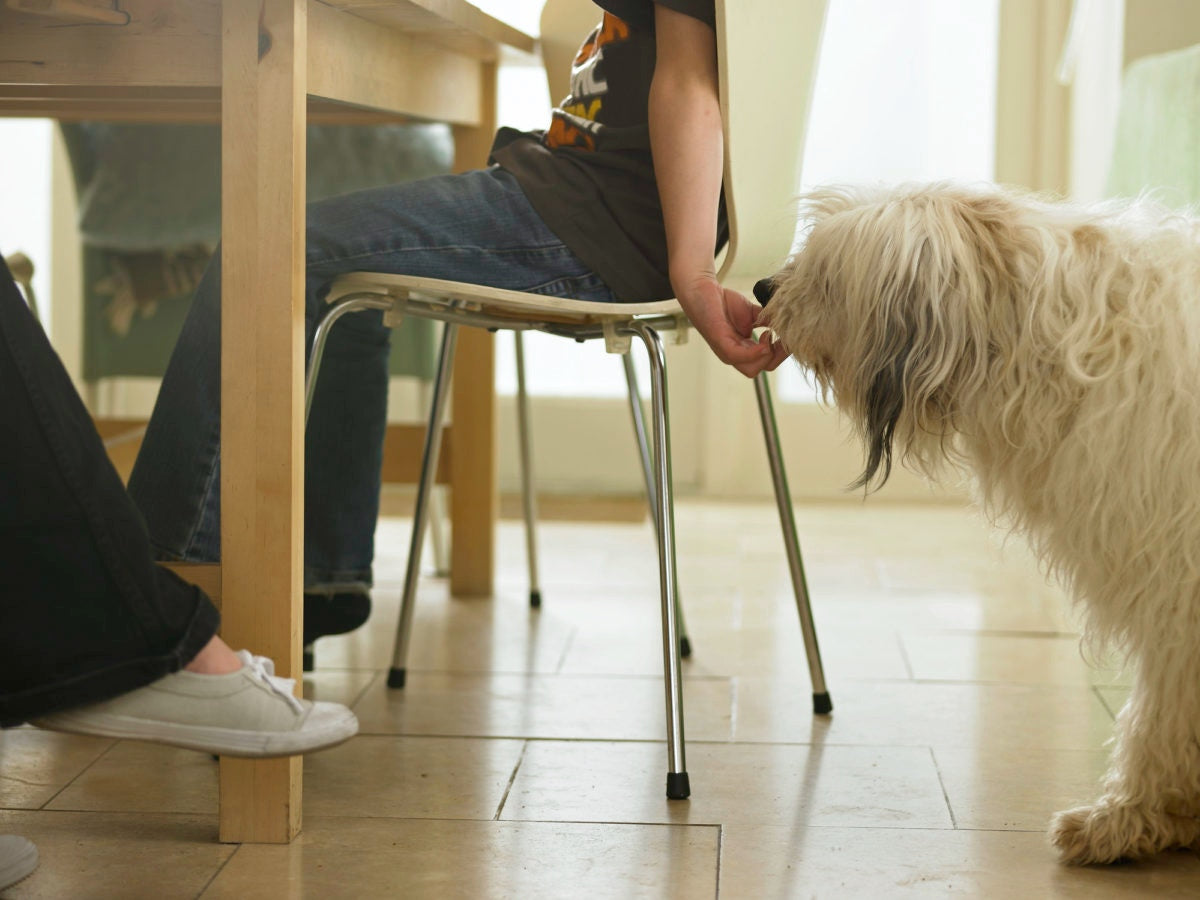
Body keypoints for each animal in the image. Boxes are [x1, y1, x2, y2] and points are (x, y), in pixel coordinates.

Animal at [758, 183, 1200, 868]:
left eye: (827, 274)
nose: (760, 289)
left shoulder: (1178, 584)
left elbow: (1163, 710)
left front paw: (1130, 816)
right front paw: (1151, 816)